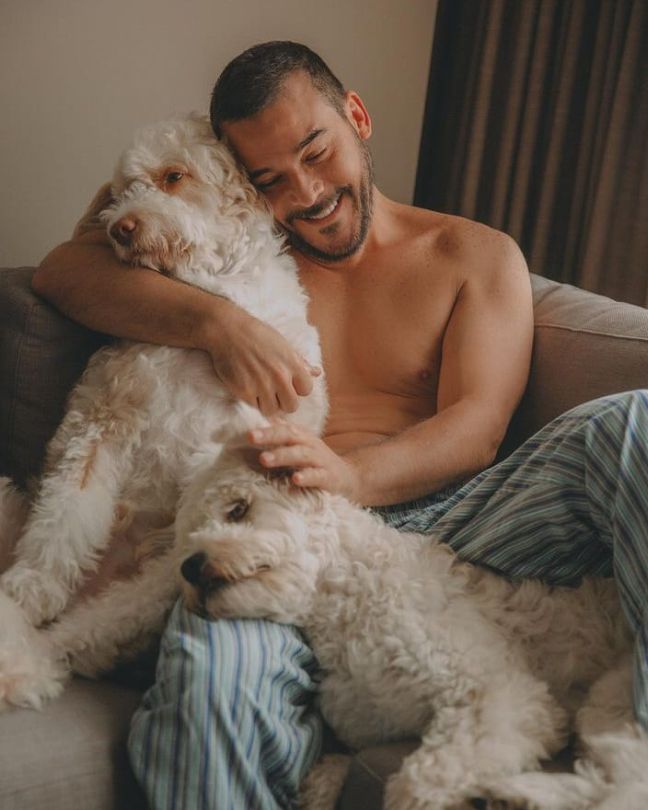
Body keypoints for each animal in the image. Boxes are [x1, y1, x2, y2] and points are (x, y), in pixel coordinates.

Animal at [0, 112, 326, 708]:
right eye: (122, 191)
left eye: (175, 176)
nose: (120, 229)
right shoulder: (103, 419)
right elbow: (63, 519)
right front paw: (29, 590)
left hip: (146, 591)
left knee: (68, 643)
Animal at [175, 442, 648, 808]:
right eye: (191, 533)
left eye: (238, 509)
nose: (189, 566)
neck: (345, 599)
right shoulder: (372, 728)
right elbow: (337, 766)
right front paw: (321, 785)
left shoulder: (497, 695)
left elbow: (422, 778)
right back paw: (515, 795)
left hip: (609, 698)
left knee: (625, 778)